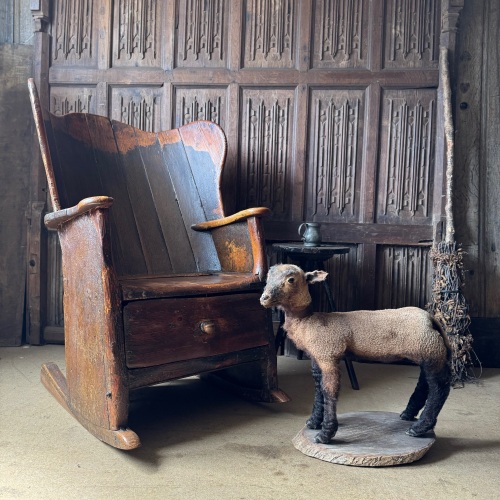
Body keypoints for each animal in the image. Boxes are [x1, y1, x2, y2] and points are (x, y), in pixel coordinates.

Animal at [262, 264, 454, 444]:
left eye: (291, 279)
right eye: (268, 276)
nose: (264, 298)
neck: (307, 321)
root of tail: (431, 319)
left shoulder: (328, 355)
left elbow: (328, 391)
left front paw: (325, 434)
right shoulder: (317, 358)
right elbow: (318, 388)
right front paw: (314, 422)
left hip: (429, 350)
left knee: (439, 387)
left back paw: (419, 428)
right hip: (426, 353)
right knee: (424, 383)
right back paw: (408, 414)